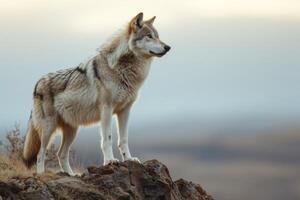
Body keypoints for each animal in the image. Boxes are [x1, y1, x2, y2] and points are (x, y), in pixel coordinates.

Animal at [22, 12, 170, 175]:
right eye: (149, 36)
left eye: (157, 36)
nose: (168, 47)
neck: (123, 69)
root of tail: (37, 83)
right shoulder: (106, 109)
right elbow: (107, 139)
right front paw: (110, 161)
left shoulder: (125, 110)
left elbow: (123, 139)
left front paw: (129, 159)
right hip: (48, 129)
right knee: (40, 154)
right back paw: (41, 175)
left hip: (72, 130)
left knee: (61, 154)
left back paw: (72, 175)